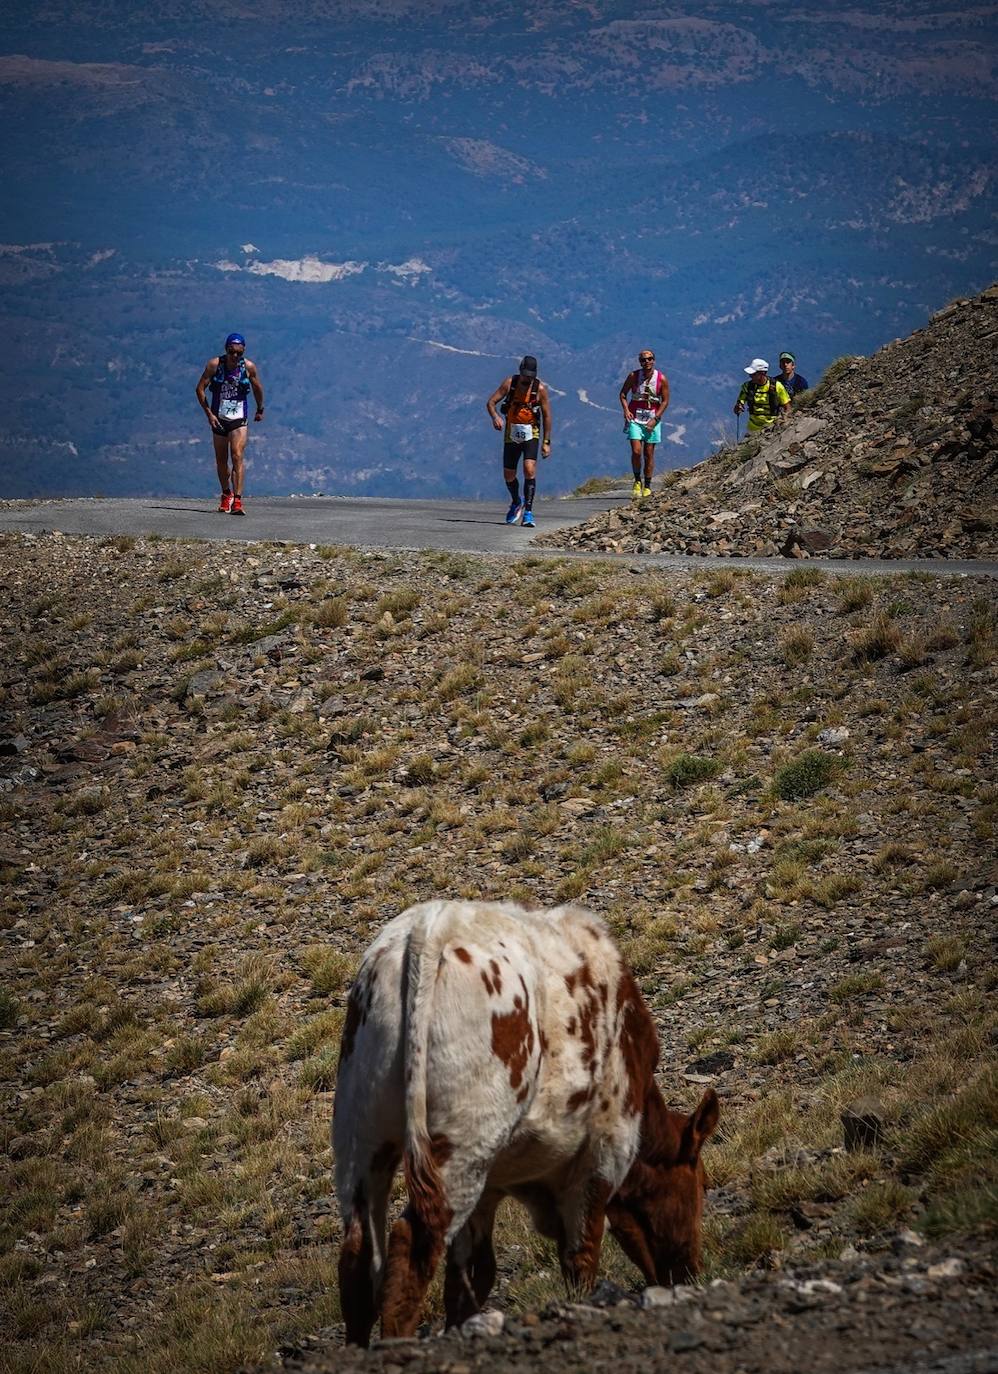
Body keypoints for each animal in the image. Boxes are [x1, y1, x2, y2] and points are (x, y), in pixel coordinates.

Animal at [336, 895, 720, 1346]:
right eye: (702, 1184)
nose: (690, 1272)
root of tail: (431, 925)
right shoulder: (602, 1156)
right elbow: (580, 1255)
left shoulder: (489, 1188)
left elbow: (471, 1276)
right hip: (460, 1147)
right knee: (412, 1248)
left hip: (362, 1138)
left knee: (358, 1257)